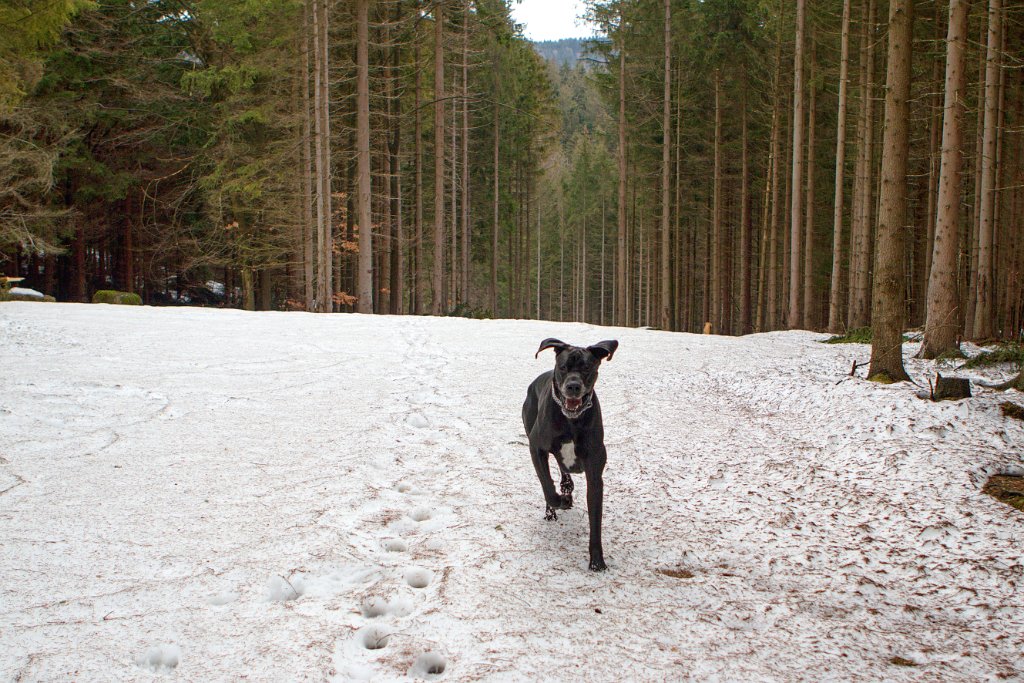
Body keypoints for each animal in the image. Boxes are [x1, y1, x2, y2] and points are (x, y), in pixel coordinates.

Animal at [520, 337, 614, 573]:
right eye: (563, 367)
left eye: (587, 368)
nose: (573, 386)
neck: (572, 420)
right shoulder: (536, 447)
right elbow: (547, 486)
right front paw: (560, 501)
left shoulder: (594, 472)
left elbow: (595, 519)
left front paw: (597, 561)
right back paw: (555, 507)